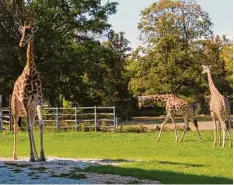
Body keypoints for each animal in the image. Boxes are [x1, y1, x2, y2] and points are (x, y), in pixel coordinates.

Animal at [11, 22, 46, 162]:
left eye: (30, 32)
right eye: (22, 32)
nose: (21, 43)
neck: (31, 71)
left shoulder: (38, 100)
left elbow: (40, 123)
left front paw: (42, 155)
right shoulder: (25, 100)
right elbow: (29, 127)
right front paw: (31, 156)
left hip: (31, 108)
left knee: (31, 122)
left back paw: (36, 156)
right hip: (16, 106)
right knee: (16, 127)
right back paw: (14, 155)